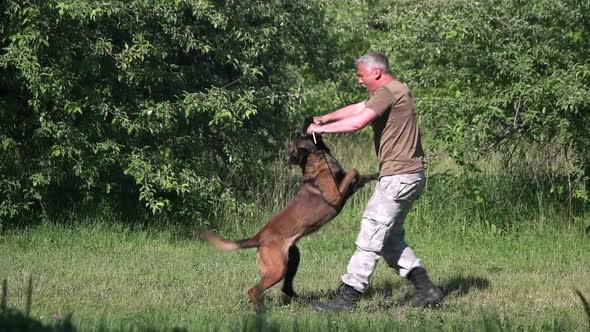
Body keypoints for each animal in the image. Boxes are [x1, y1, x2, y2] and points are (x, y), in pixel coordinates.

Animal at [204, 116, 380, 312]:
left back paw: (301, 301)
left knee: (286, 288)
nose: (308, 117)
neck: (317, 157)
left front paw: (378, 172)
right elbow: (354, 171)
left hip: (292, 259)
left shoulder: (349, 188)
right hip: (277, 269)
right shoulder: (336, 195)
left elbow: (361, 175)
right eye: (301, 133)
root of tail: (259, 237)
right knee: (254, 290)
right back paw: (260, 311)